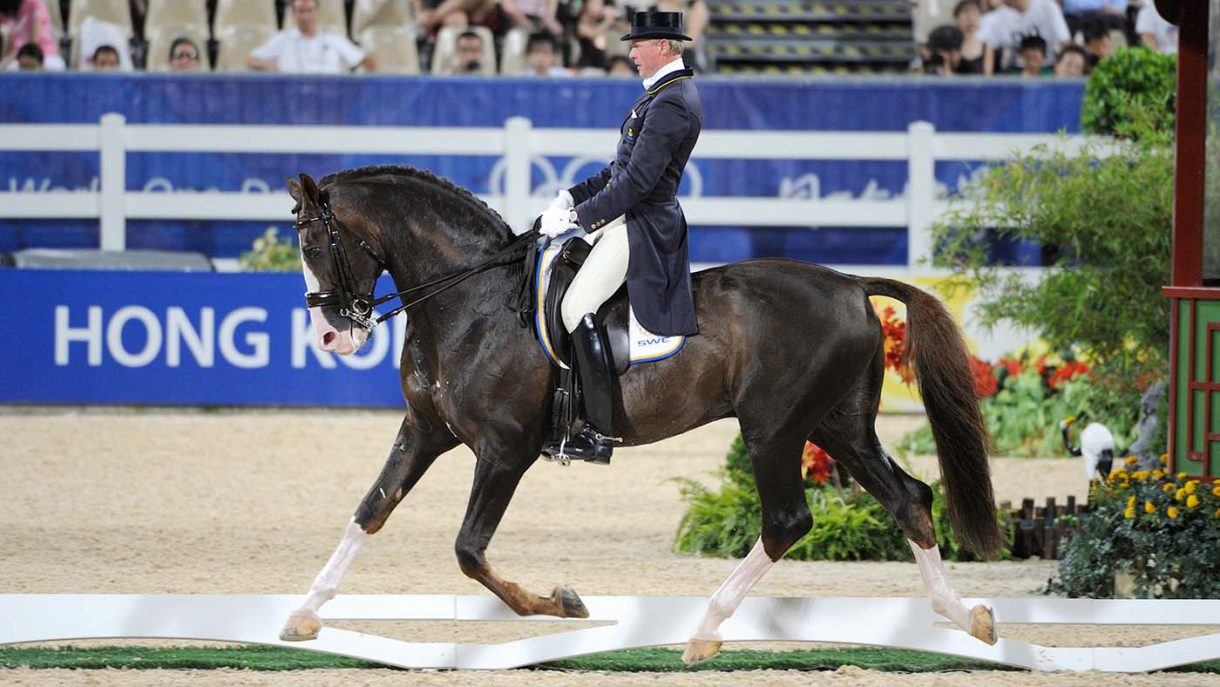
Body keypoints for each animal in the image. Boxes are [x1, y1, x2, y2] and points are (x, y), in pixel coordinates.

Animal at [278, 166, 1003, 664]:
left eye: (315, 242)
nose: (334, 337)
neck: (471, 299)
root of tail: (852, 283)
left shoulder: (504, 450)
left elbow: (468, 551)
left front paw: (560, 603)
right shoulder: (426, 431)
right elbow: (370, 510)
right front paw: (304, 613)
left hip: (773, 429)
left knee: (789, 520)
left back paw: (705, 630)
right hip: (838, 425)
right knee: (908, 497)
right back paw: (967, 617)